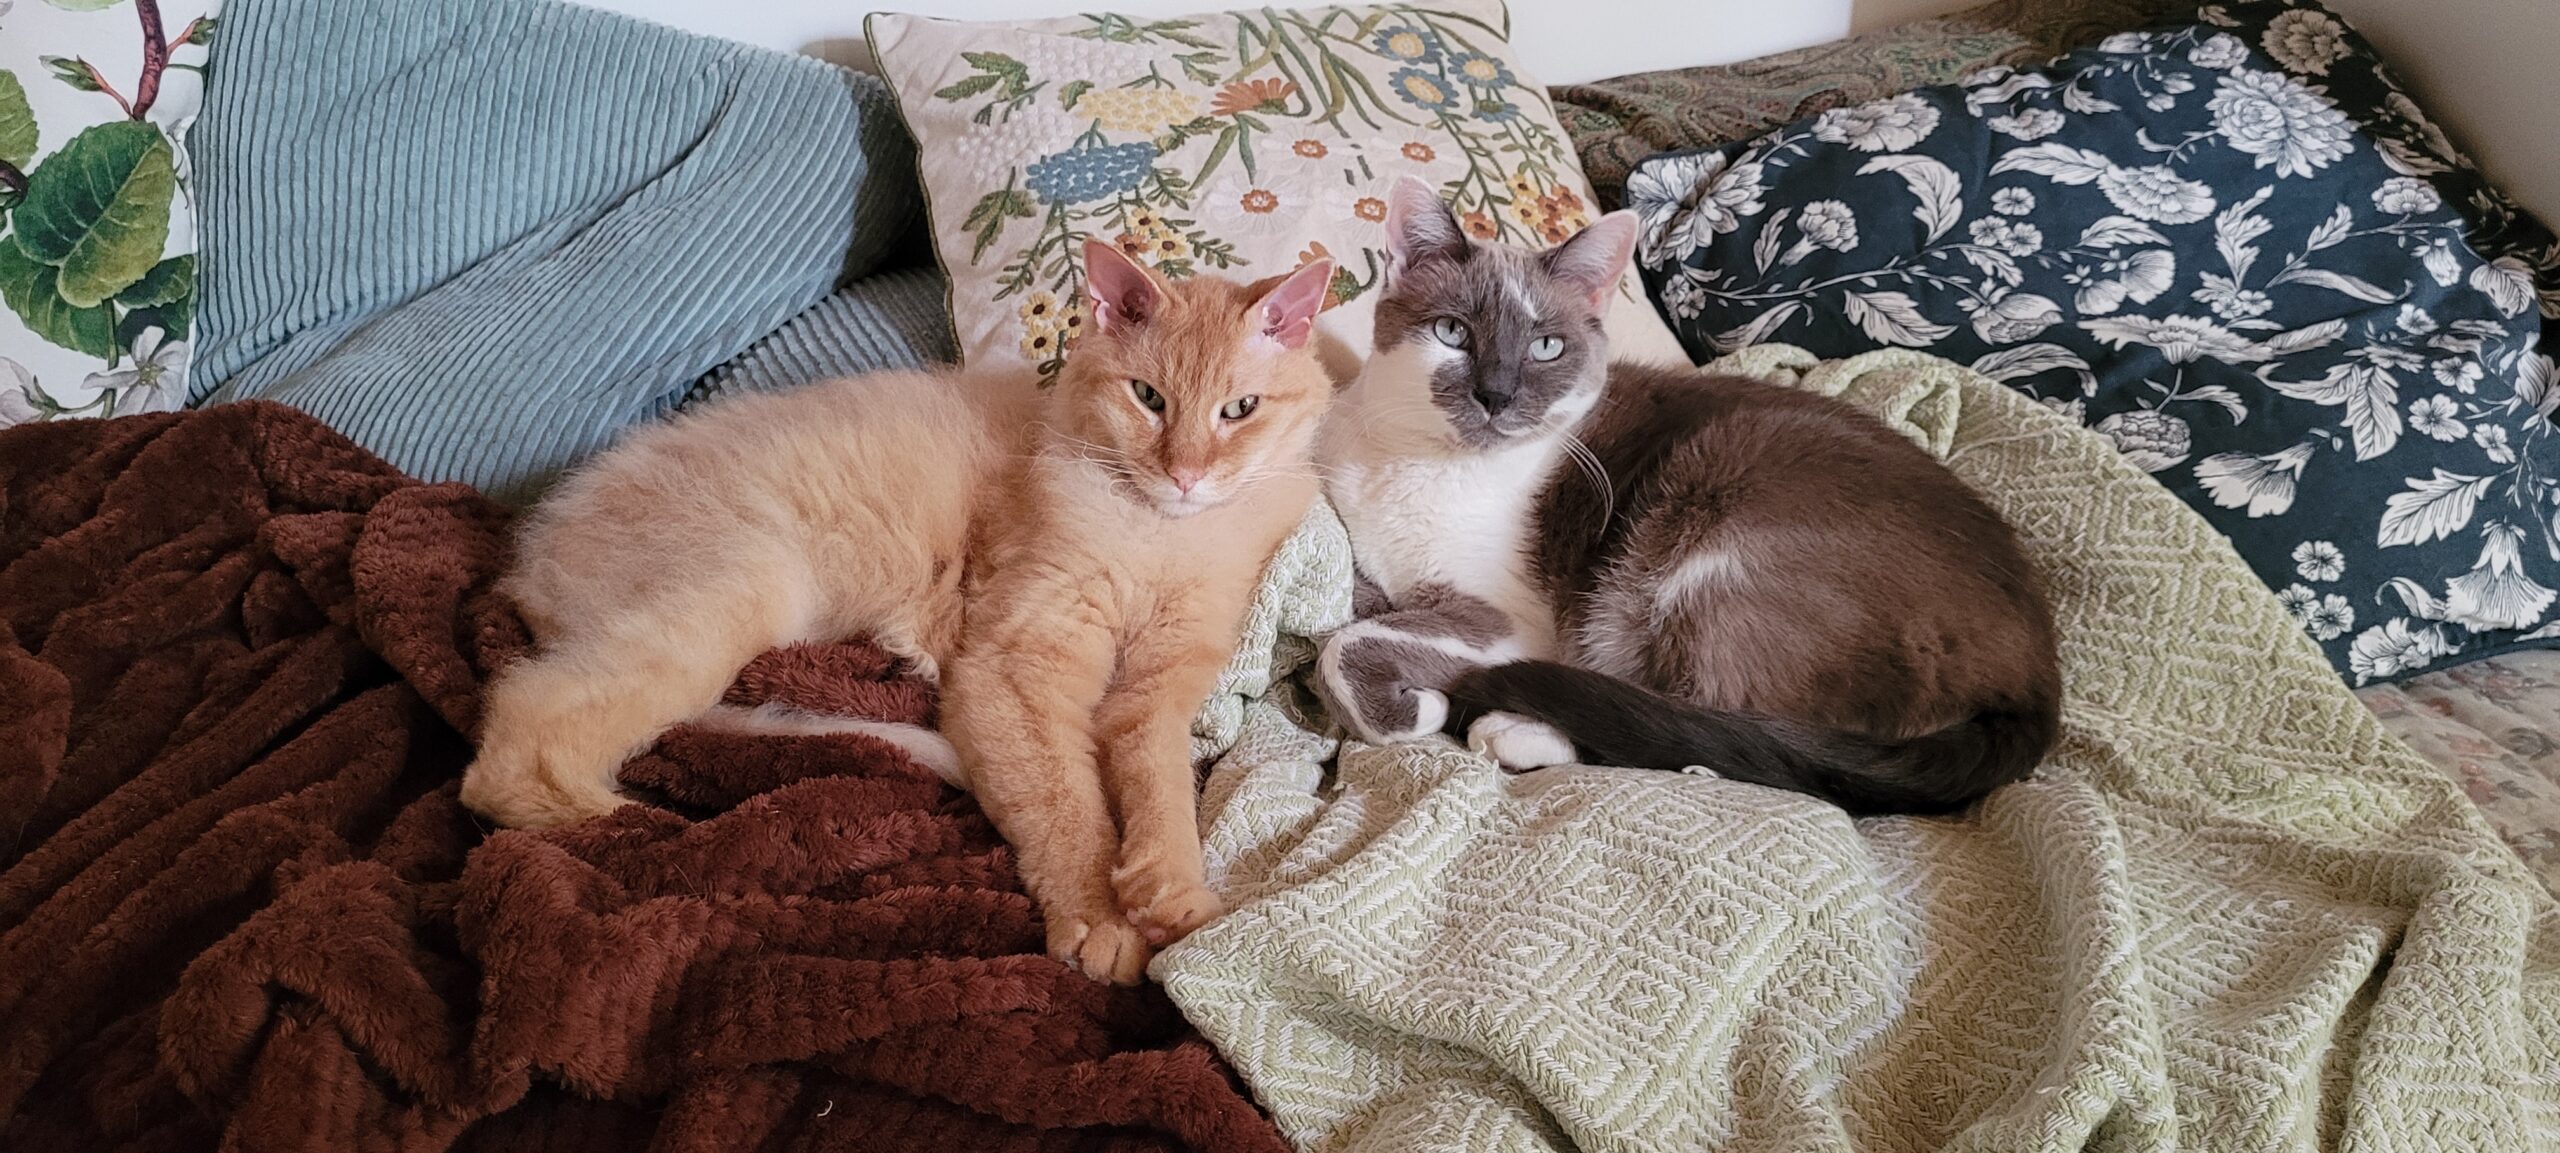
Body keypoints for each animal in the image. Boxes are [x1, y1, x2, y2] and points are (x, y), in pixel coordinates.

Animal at [463, 240, 1341, 983]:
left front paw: (1168, 893)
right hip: (736, 592)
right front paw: (1101, 922)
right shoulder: (1015, 667)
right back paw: (647, 837)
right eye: (1149, 398)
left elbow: (1160, 787)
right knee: (514, 747)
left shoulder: (1160, 683)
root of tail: (528, 560)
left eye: (1240, 409)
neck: (1158, 535)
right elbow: (1068, 808)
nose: (1186, 475)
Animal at [1320, 178, 2058, 809]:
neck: (1419, 462)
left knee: (1707, 733)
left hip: (1701, 543)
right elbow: (1351, 616)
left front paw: (1424, 708)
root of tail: (2039, 675)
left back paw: (1515, 727)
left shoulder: (1511, 618)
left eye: (1546, 347)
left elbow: (1344, 646)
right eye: (1453, 333)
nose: (1496, 395)